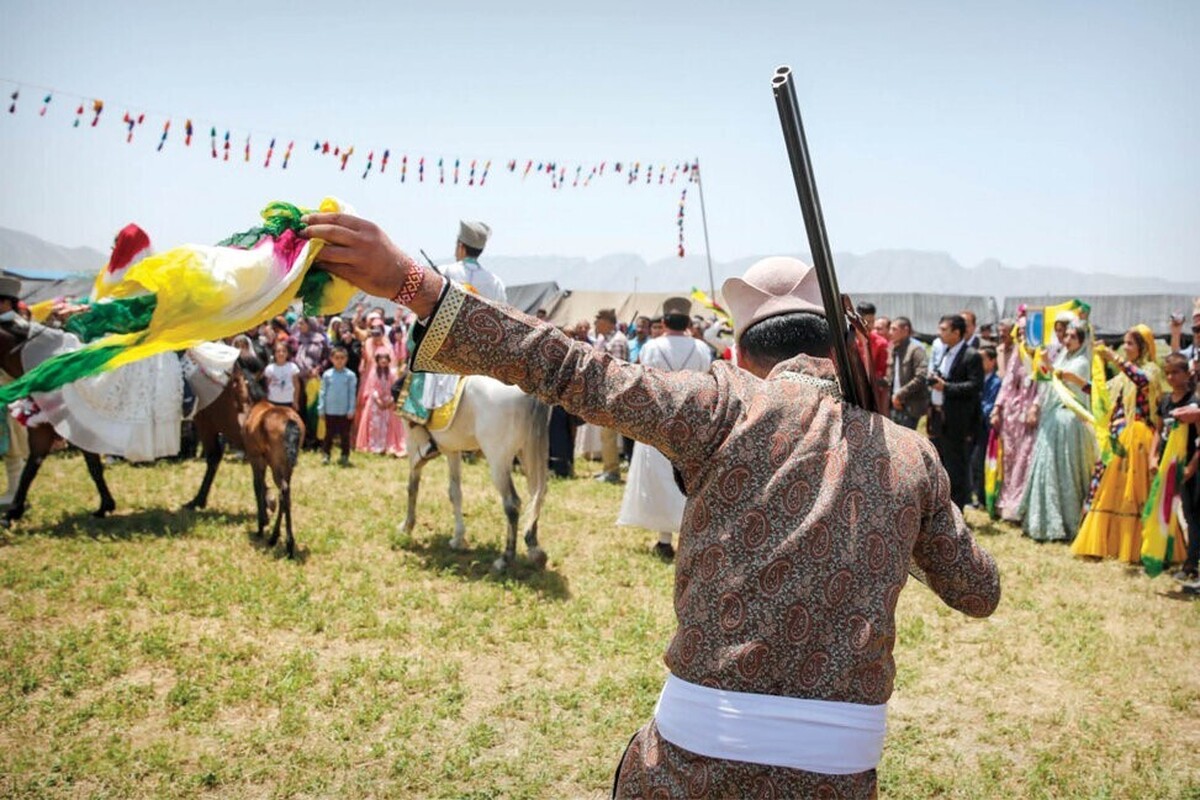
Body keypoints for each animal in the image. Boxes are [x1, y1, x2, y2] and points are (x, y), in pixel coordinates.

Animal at [0, 326, 246, 525]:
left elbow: (86, 467)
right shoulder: (56, 428)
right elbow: (35, 467)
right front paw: (13, 512)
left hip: (222, 416)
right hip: (206, 419)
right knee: (214, 455)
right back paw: (197, 501)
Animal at [241, 400, 302, 556]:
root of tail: (291, 422)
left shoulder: (256, 459)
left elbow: (258, 486)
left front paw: (262, 525)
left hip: (276, 465)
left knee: (283, 491)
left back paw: (283, 541)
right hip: (287, 467)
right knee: (286, 495)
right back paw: (281, 540)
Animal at [403, 376, 552, 568]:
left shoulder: (413, 440)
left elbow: (412, 487)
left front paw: (407, 526)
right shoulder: (452, 449)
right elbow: (455, 493)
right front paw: (458, 539)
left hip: (498, 460)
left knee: (512, 503)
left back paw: (505, 558)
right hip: (529, 453)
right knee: (536, 497)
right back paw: (535, 550)